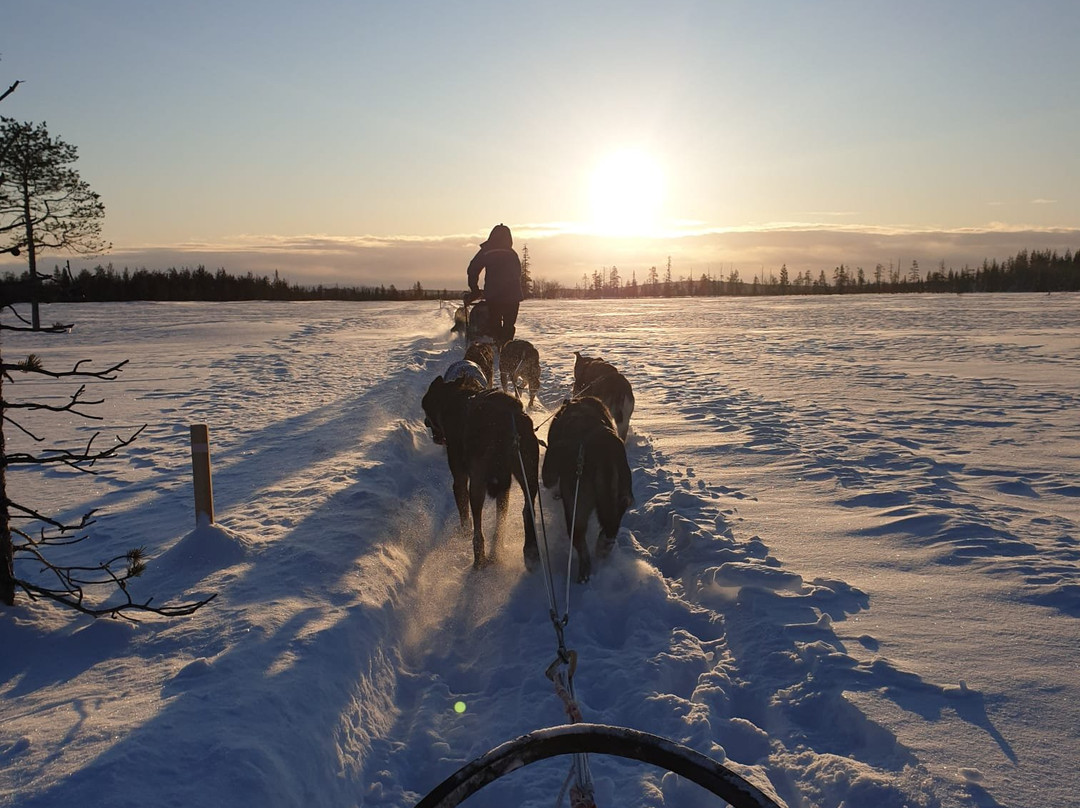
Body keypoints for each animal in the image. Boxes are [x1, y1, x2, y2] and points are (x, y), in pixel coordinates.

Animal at [421, 378, 540, 570]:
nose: (425, 421)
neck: (453, 399)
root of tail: (507, 421)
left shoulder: (460, 480)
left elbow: (464, 513)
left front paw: (463, 532)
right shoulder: (505, 488)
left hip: (477, 484)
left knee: (478, 531)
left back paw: (479, 559)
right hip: (527, 477)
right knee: (526, 512)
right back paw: (527, 550)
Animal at [540, 395, 630, 578]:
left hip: (576, 505)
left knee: (580, 542)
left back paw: (583, 573)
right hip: (621, 497)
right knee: (612, 525)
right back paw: (603, 546)